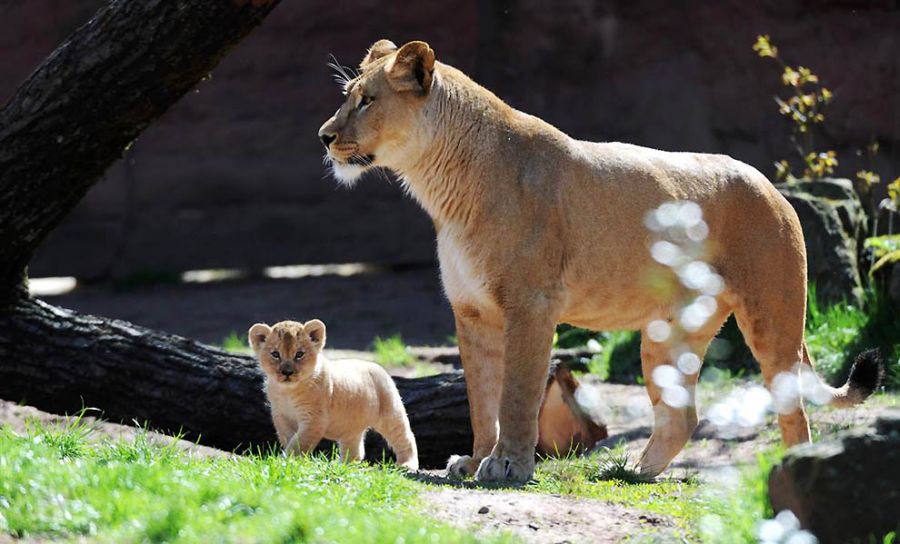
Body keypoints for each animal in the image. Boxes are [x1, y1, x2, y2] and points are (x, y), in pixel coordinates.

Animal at [320, 38, 884, 482]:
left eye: (367, 101)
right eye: (347, 97)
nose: (325, 137)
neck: (441, 187)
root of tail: (774, 187)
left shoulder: (531, 305)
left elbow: (517, 394)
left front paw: (508, 467)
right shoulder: (472, 311)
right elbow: (481, 400)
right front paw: (475, 460)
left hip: (773, 315)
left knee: (795, 411)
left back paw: (792, 472)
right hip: (668, 332)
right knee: (681, 417)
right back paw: (632, 471)